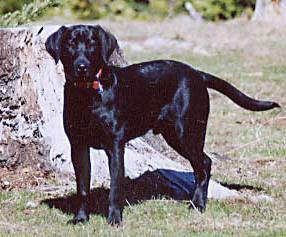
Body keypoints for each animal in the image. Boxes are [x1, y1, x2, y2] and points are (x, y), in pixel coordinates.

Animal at [45, 25, 280, 225]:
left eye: (92, 44)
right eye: (70, 44)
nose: (82, 67)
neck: (87, 95)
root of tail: (196, 73)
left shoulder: (115, 146)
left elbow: (115, 188)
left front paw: (114, 219)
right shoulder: (78, 146)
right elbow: (83, 187)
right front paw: (80, 219)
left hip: (185, 132)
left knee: (204, 163)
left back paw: (198, 205)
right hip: (175, 135)